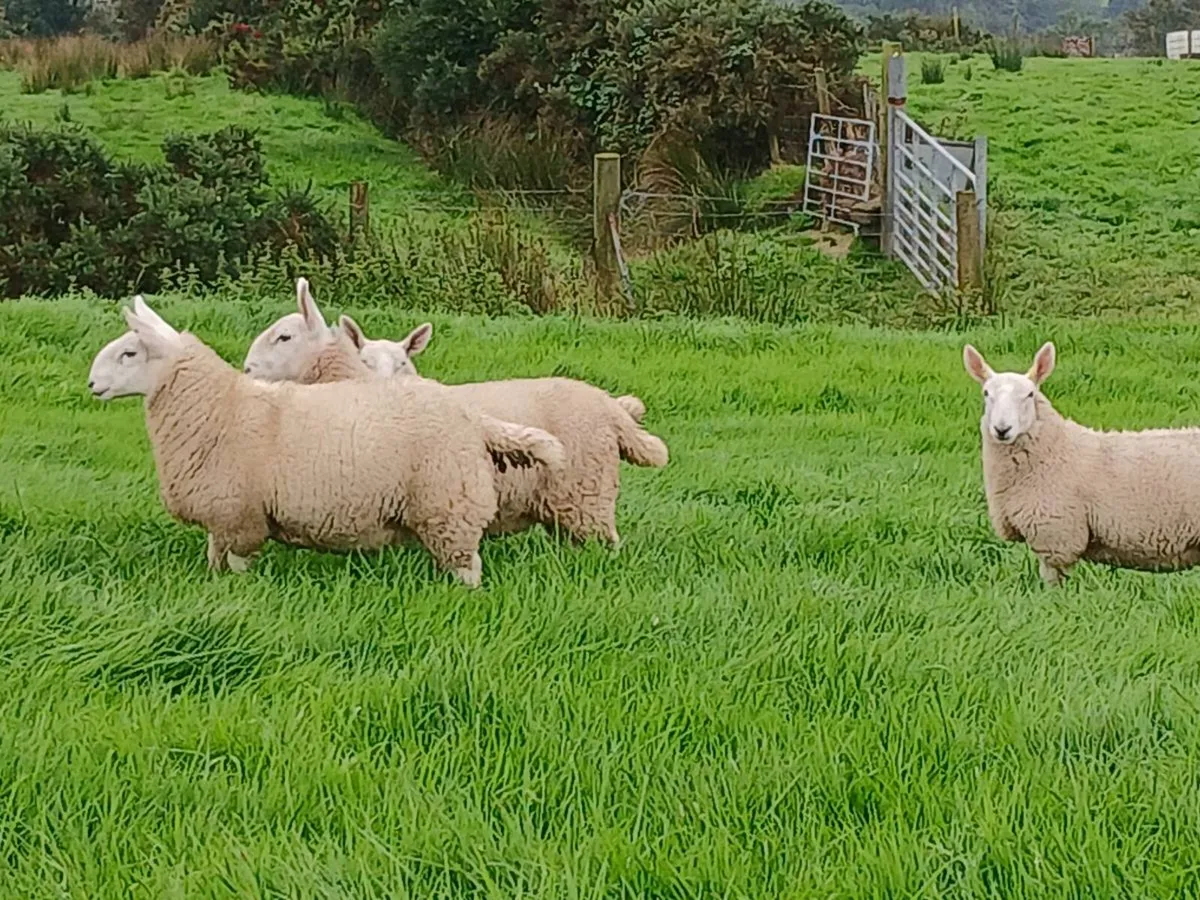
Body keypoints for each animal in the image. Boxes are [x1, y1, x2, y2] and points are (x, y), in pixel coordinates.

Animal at [88, 296, 532, 587]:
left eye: (129, 354)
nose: (91, 383)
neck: (221, 405)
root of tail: (470, 416)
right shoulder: (221, 518)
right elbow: (215, 562)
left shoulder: (241, 515)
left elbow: (238, 565)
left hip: (449, 507)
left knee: (467, 570)